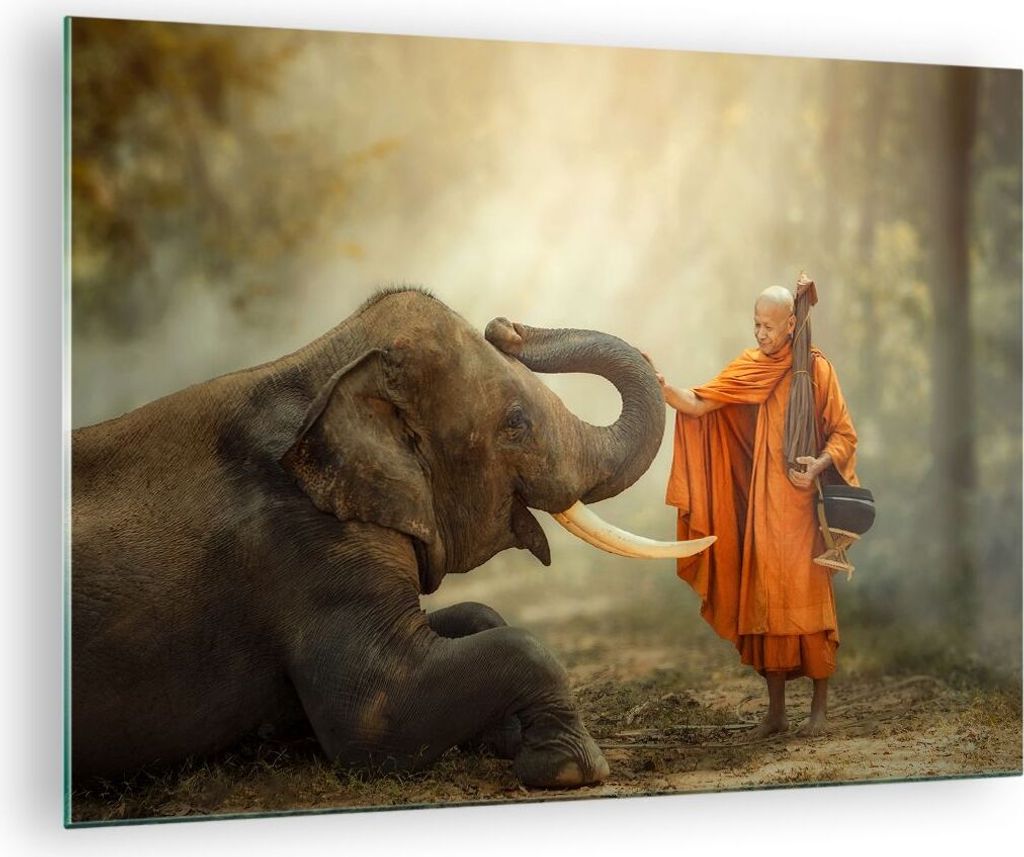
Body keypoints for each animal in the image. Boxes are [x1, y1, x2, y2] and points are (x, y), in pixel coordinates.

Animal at [71, 288, 714, 789]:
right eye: (516, 423)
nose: (504, 325)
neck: (320, 366)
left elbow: (478, 615)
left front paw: (505, 735)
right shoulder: (305, 543)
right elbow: (372, 718)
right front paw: (565, 768)